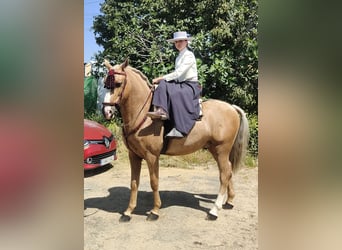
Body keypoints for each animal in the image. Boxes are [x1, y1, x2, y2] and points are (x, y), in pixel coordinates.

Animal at [101, 59, 248, 223]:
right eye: (105, 84)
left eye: (118, 83)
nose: (106, 112)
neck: (144, 115)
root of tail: (231, 108)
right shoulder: (134, 155)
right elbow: (134, 183)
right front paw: (128, 212)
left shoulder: (152, 156)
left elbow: (154, 182)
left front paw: (155, 211)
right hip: (216, 150)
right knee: (228, 171)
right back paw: (229, 201)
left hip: (222, 149)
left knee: (224, 174)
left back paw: (214, 210)